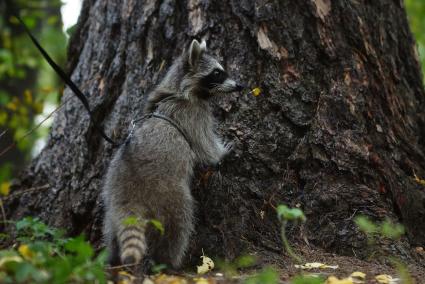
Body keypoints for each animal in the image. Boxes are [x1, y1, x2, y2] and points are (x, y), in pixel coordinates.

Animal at [102, 39, 242, 268]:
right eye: (217, 73)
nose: (240, 86)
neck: (178, 90)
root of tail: (129, 196)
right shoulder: (192, 115)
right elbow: (204, 145)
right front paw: (223, 152)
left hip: (110, 202)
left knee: (112, 232)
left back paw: (113, 257)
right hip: (170, 196)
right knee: (179, 226)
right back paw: (170, 261)